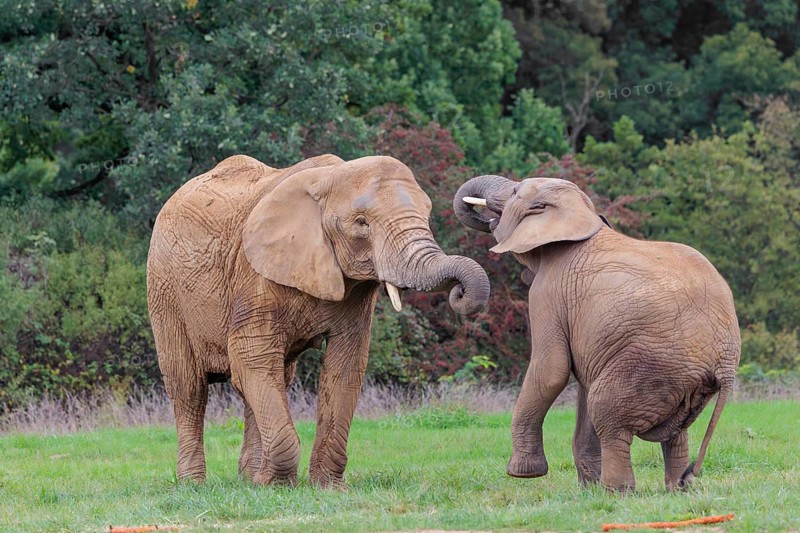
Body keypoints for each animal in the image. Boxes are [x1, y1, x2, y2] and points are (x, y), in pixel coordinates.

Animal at [146, 154, 490, 487]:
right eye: (362, 223)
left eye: (427, 215)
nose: (459, 291)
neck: (329, 177)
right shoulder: (254, 273)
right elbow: (251, 354)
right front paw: (275, 485)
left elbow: (345, 364)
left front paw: (324, 487)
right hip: (164, 290)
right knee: (189, 388)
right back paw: (194, 484)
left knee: (269, 381)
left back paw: (248, 479)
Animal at [454, 175, 740, 492]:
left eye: (515, 191)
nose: (459, 293)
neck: (579, 217)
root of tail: (725, 363)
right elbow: (581, 386)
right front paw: (586, 490)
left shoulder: (547, 293)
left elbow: (551, 371)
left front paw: (523, 474)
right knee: (673, 432)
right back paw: (677, 488)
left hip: (651, 365)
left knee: (607, 413)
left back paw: (616, 491)